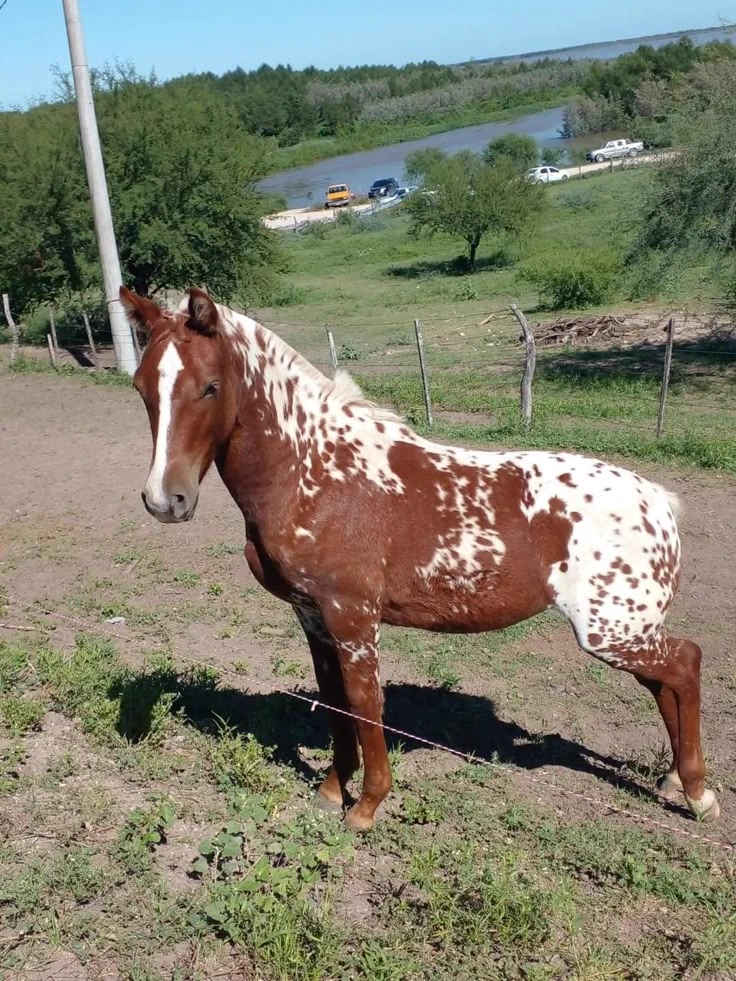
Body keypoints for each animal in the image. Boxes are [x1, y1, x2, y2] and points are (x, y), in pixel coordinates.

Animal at [120, 286, 720, 831]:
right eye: (141, 387)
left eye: (211, 387)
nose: (164, 500)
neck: (314, 470)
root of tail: (657, 500)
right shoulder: (312, 617)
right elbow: (334, 703)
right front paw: (331, 791)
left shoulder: (352, 618)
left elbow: (364, 705)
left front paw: (365, 807)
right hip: (627, 629)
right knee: (664, 682)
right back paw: (672, 780)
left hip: (609, 631)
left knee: (685, 664)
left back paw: (698, 794)